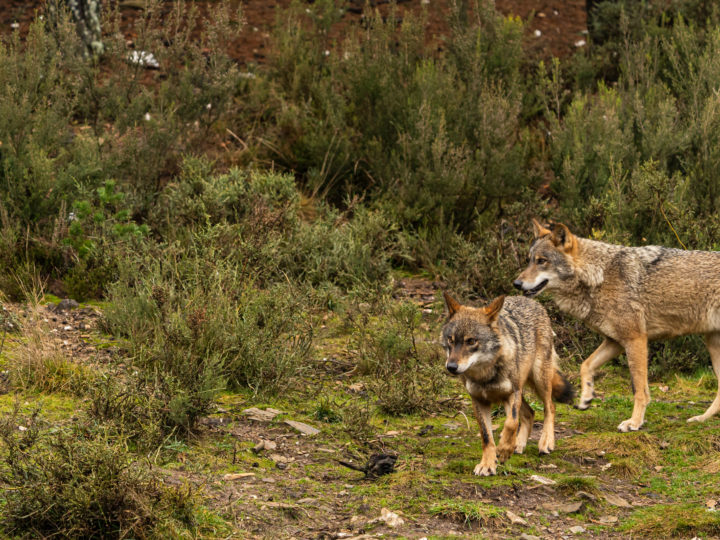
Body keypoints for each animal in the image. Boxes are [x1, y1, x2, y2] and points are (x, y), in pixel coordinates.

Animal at [438, 294, 572, 474]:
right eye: (450, 340)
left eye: (471, 341)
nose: (451, 367)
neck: (485, 375)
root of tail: (530, 300)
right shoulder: (478, 400)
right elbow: (487, 436)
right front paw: (487, 464)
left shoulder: (512, 393)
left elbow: (511, 423)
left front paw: (503, 450)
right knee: (530, 413)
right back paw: (519, 444)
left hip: (539, 380)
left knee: (550, 406)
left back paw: (546, 442)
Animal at [516, 217, 720, 432]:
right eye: (529, 260)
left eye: (541, 261)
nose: (516, 284)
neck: (599, 276)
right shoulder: (614, 341)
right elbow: (585, 365)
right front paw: (586, 397)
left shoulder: (635, 339)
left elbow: (639, 390)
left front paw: (634, 422)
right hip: (712, 344)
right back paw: (701, 418)